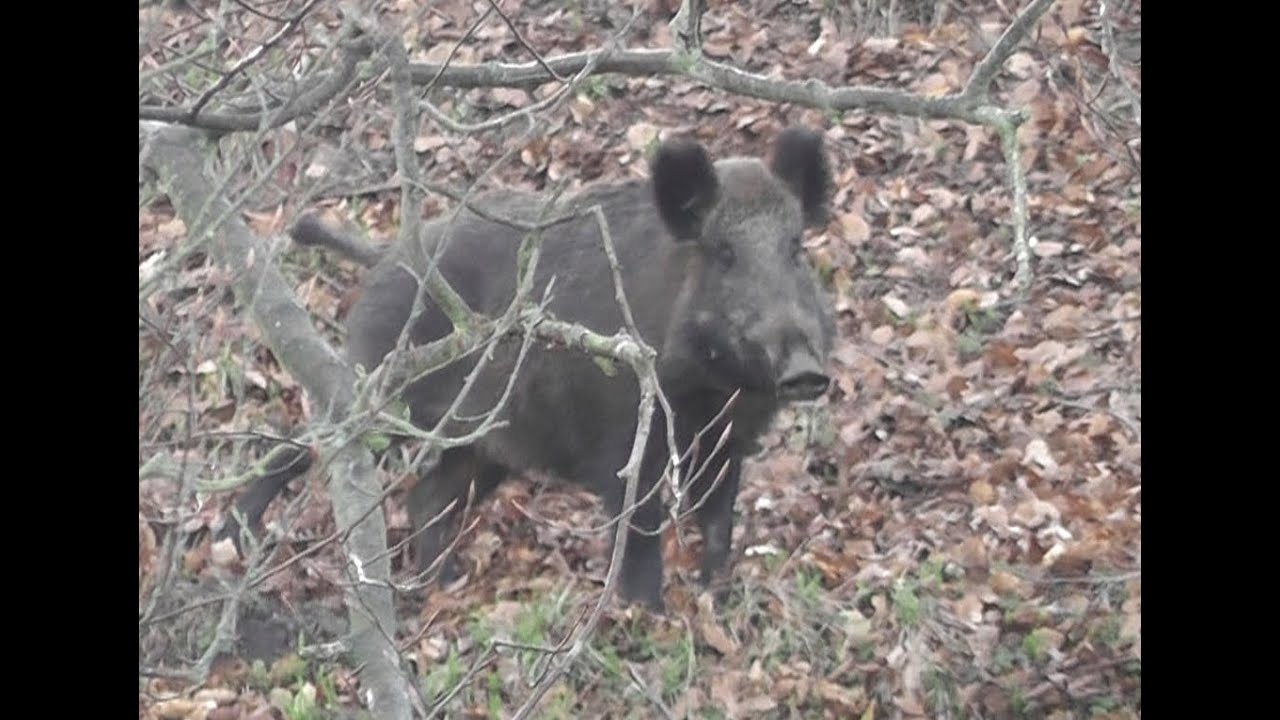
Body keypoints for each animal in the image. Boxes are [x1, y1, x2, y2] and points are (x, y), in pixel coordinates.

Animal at [228, 126, 837, 611]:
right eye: (724, 252)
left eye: (795, 247)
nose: (806, 370)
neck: (713, 390)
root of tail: (386, 257)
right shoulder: (626, 442)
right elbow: (639, 536)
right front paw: (649, 615)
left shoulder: (727, 442)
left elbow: (717, 522)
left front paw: (717, 596)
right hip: (382, 390)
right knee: (311, 440)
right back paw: (234, 538)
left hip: (483, 441)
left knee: (425, 497)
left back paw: (446, 584)